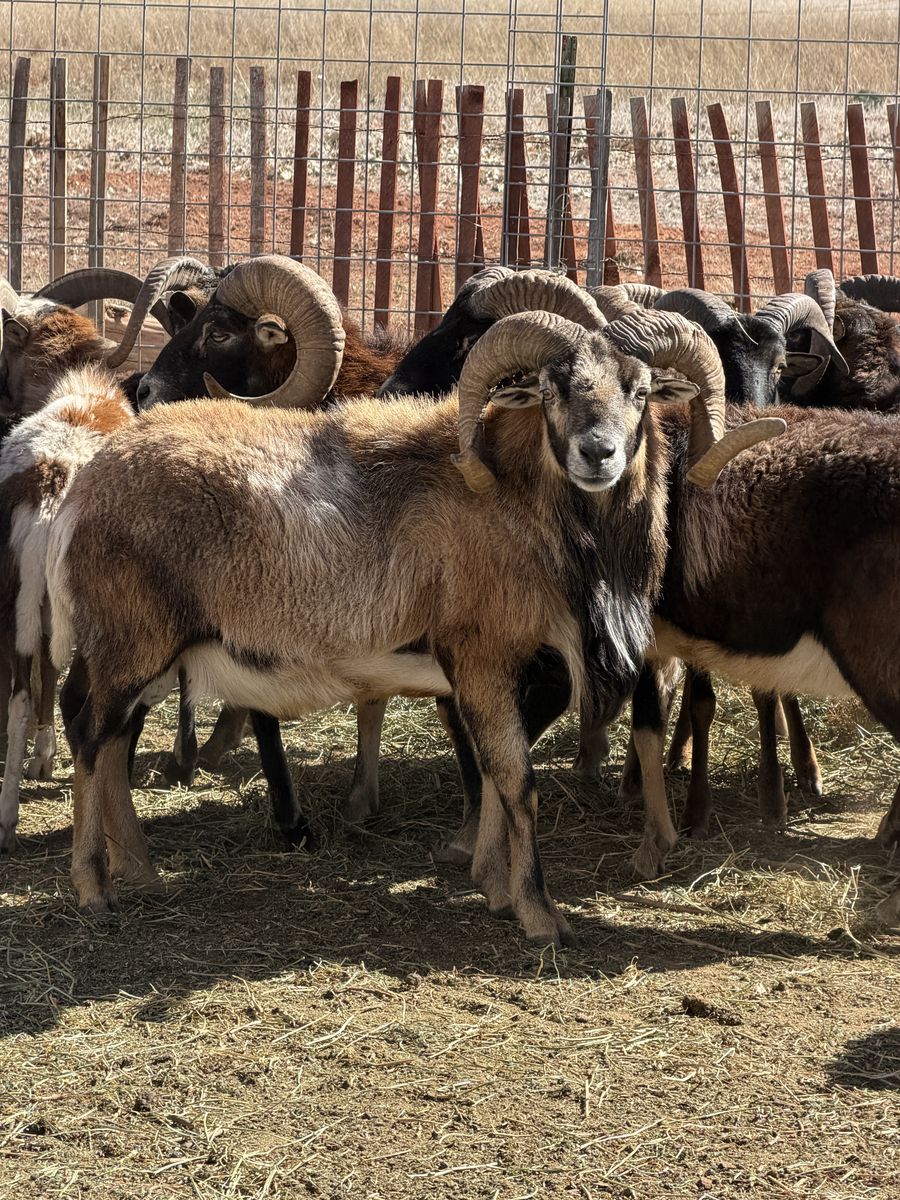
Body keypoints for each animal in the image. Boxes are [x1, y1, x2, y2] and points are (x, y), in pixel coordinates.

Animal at [0, 364, 134, 850]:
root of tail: (53, 477)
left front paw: (41, 757)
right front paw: (46, 756)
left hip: (15, 596)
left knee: (19, 697)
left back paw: (6, 820)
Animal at [45, 254, 778, 942]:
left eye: (641, 389)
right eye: (552, 387)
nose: (598, 454)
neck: (532, 513)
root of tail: (91, 484)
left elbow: (493, 776)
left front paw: (491, 886)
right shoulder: (486, 661)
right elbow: (515, 779)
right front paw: (538, 914)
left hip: (146, 652)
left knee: (111, 737)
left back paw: (141, 870)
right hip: (131, 643)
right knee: (86, 731)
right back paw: (94, 890)